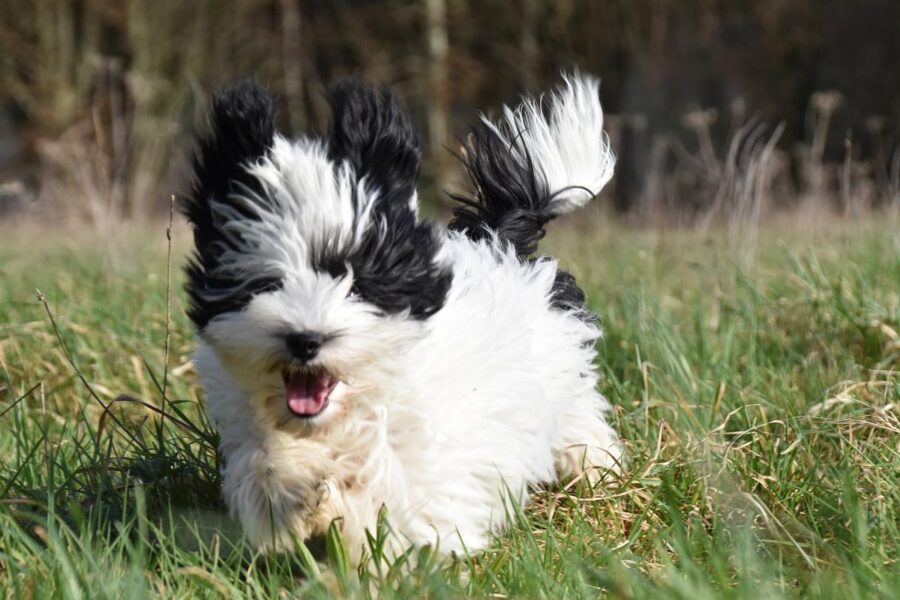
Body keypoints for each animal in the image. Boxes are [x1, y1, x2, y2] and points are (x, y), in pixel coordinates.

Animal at [180, 72, 624, 564]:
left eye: (357, 280)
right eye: (263, 282)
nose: (305, 339)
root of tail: (496, 235)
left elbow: (400, 488)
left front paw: (383, 552)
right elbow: (266, 466)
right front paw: (296, 488)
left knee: (579, 420)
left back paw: (598, 470)